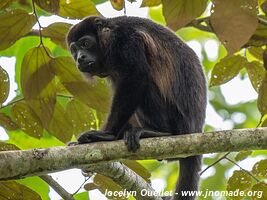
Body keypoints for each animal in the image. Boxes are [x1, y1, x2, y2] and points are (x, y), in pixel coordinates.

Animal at [66, 16, 207, 200]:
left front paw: (106, 135)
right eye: (74, 49)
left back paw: (159, 132)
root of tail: (196, 130)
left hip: (179, 123)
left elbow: (136, 76)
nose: (80, 58)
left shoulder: (126, 40)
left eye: (86, 43)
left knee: (146, 84)